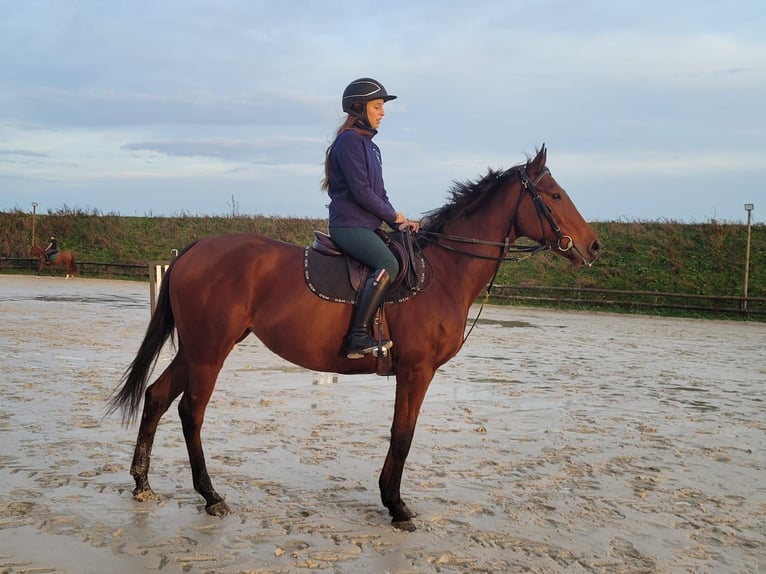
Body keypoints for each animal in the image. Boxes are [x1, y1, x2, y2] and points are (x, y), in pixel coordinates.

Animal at [108, 147, 604, 532]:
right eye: (555, 195)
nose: (594, 246)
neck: (444, 272)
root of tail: (196, 247)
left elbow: (400, 434)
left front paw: (391, 499)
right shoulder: (416, 371)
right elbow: (402, 435)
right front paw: (397, 506)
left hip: (197, 349)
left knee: (157, 396)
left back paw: (142, 483)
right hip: (210, 351)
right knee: (190, 412)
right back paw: (210, 495)